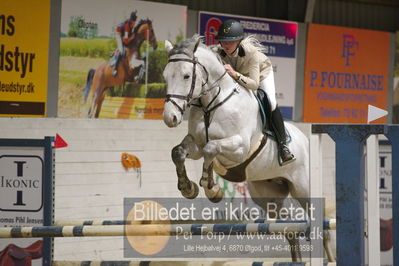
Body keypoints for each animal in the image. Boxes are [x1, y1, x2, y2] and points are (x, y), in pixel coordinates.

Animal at [162, 35, 334, 262]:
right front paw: (188, 188)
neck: (213, 103)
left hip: (304, 188)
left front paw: (212, 190)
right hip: (267, 194)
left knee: (321, 226)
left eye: (186, 75)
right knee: (289, 227)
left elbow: (211, 148)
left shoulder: (239, 147)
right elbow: (179, 152)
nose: (170, 118)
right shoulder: (195, 145)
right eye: (165, 76)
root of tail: (305, 140)